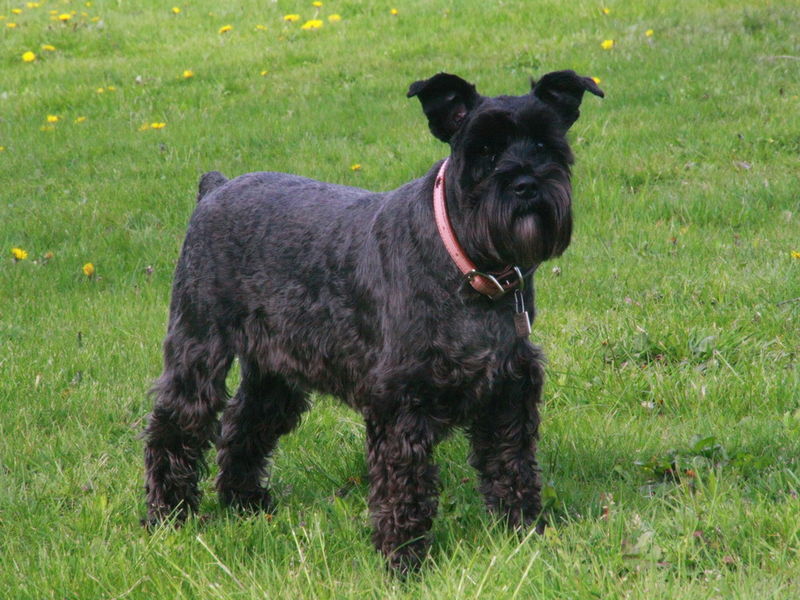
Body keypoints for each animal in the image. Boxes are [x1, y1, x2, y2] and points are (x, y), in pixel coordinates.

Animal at [145, 69, 600, 568]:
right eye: (484, 150)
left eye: (543, 144)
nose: (526, 185)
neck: (469, 264)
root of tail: (215, 189)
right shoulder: (400, 401)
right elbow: (404, 484)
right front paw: (403, 558)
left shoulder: (509, 390)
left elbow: (511, 464)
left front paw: (523, 533)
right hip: (198, 348)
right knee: (175, 425)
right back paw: (167, 514)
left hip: (275, 369)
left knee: (244, 422)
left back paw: (244, 501)